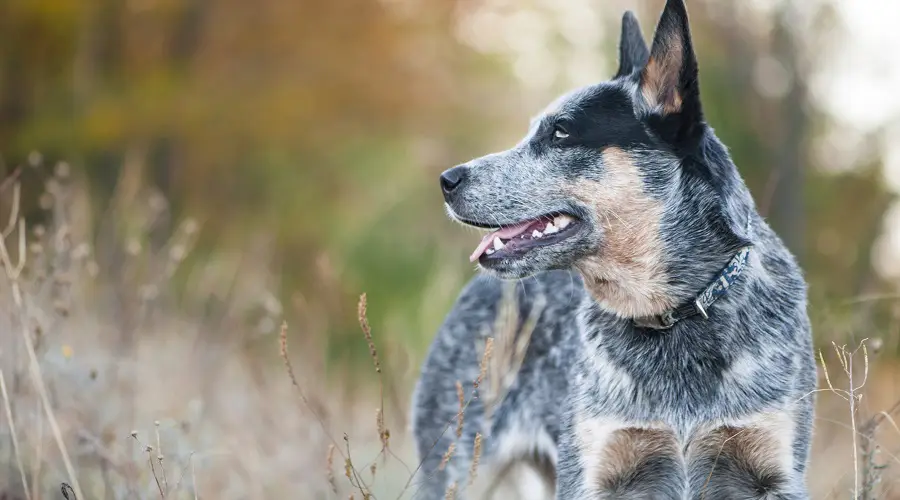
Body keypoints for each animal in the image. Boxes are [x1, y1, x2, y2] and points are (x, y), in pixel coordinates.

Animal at [412, 1, 820, 498]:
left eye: (561, 132)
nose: (447, 180)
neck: (672, 316)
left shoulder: (771, 468)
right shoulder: (595, 469)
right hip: (458, 469)